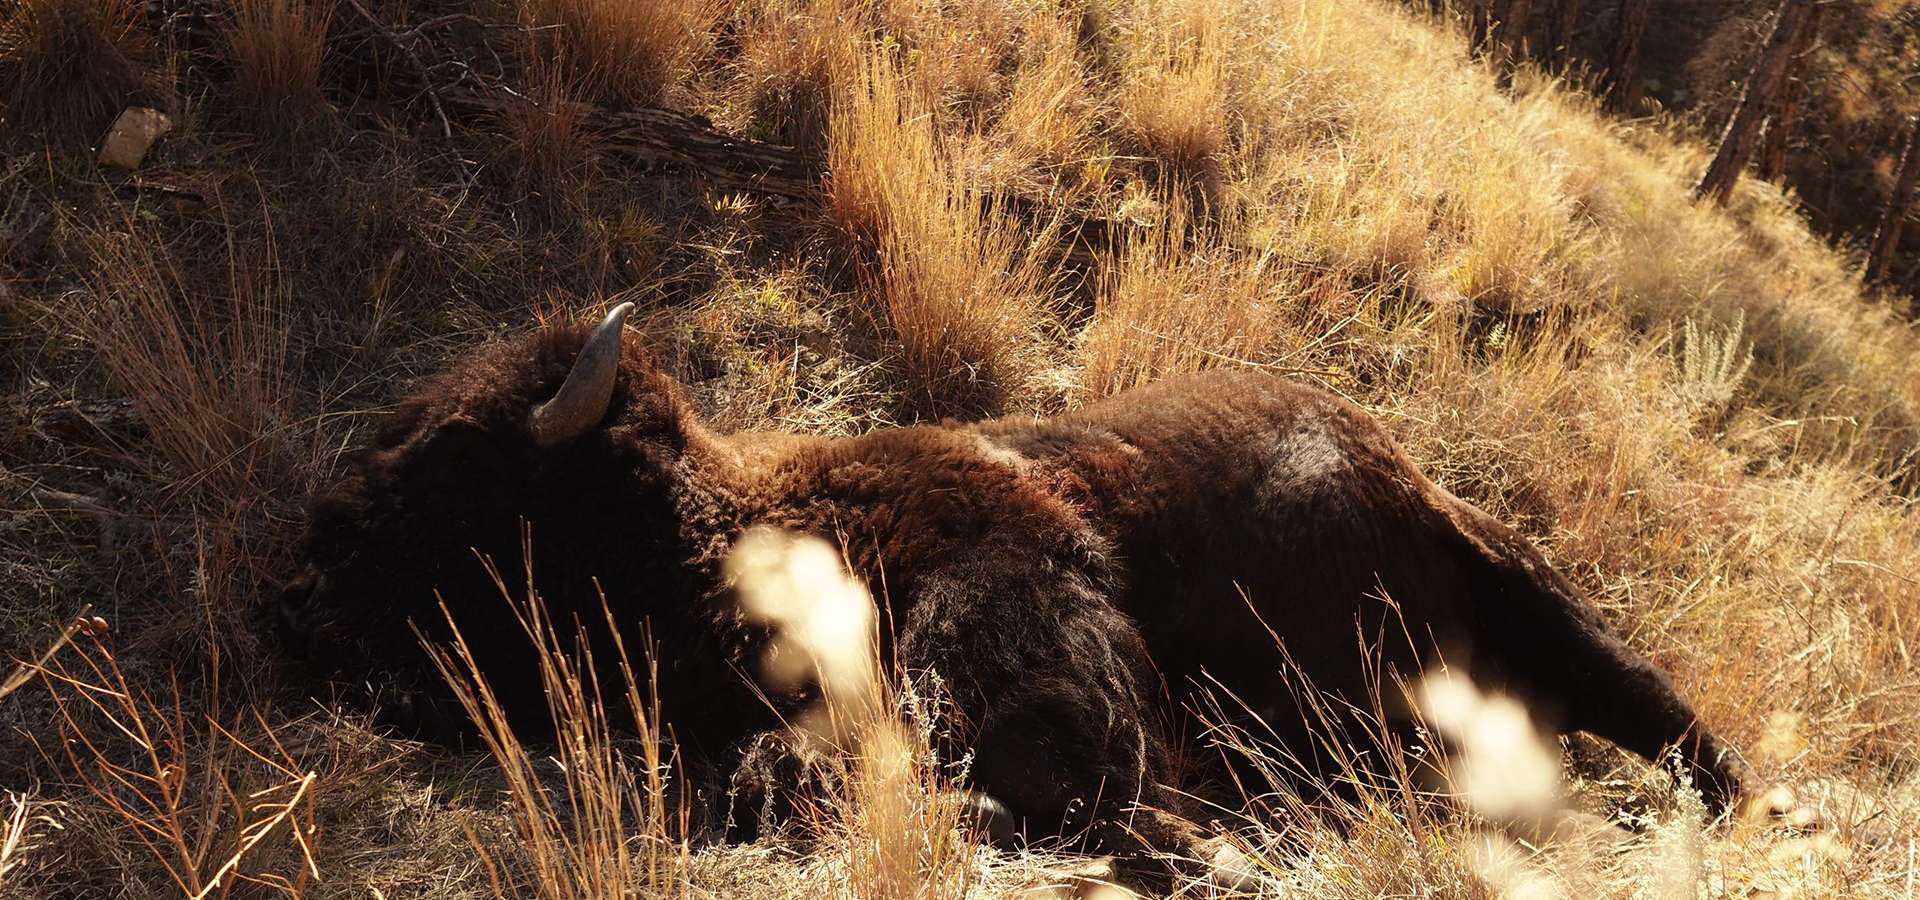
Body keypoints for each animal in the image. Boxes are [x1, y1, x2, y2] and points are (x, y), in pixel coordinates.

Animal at [279, 303, 1747, 885]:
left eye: (461, 462)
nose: (300, 576)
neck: (756, 529)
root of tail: (1411, 480)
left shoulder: (1034, 628)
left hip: (1557, 619)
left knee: (1678, 724)